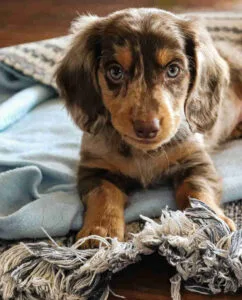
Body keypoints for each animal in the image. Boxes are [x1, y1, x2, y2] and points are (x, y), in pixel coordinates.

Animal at [55, 8, 241, 248]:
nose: (146, 128)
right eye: (115, 71)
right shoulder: (95, 168)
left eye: (173, 70)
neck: (143, 153)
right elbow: (104, 193)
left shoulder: (195, 161)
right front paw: (100, 230)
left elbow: (197, 191)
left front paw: (211, 222)